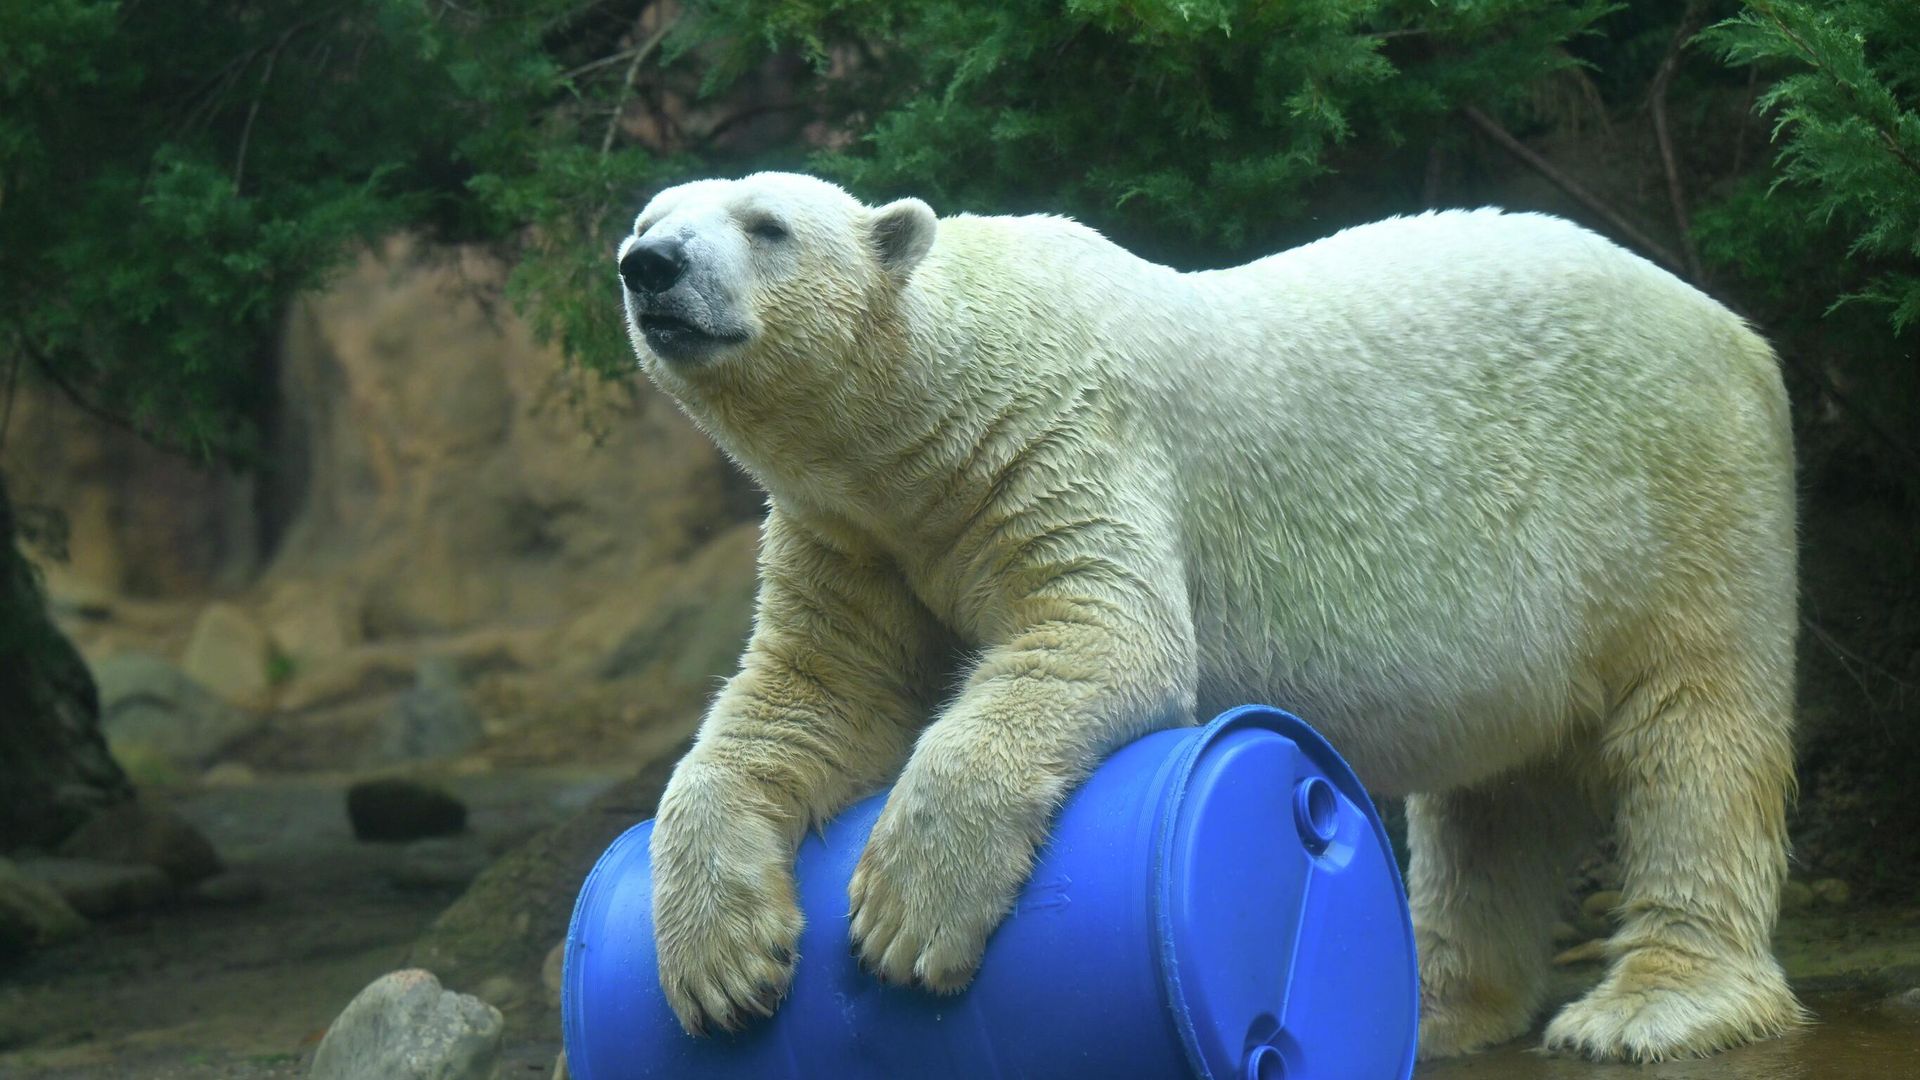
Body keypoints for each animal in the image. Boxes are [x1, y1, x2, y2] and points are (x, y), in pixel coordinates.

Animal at [614, 172, 1802, 1062]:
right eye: (642, 219)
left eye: (766, 225)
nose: (651, 267)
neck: (932, 400)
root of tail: (1738, 329)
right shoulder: (857, 532)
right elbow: (812, 697)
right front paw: (722, 963)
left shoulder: (1057, 439)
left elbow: (1108, 637)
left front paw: (904, 917)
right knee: (1491, 800)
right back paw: (1441, 1003)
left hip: (1677, 498)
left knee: (1695, 738)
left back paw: (1651, 1007)